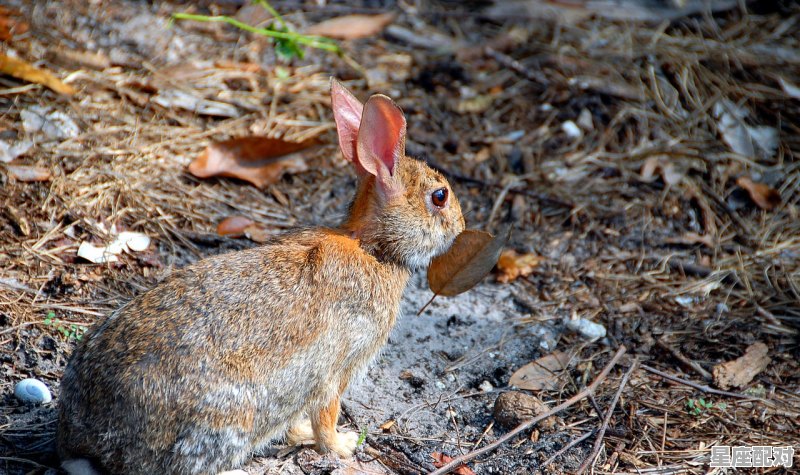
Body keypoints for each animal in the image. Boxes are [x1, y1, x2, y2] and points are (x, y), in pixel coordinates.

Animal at [56, 79, 462, 475]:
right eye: (439, 196)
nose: (460, 227)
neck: (374, 248)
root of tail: (87, 442)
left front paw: (300, 437)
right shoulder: (337, 368)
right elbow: (326, 416)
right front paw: (343, 445)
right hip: (229, 419)